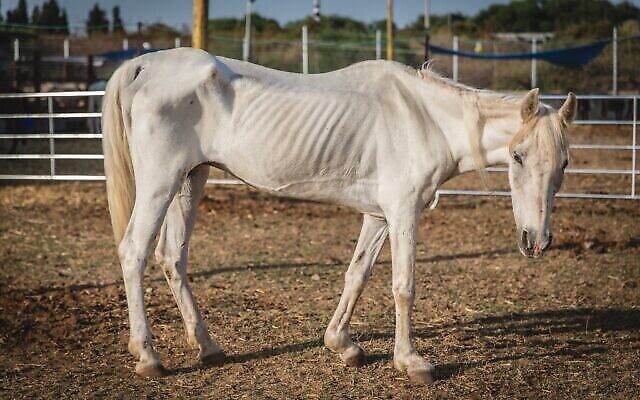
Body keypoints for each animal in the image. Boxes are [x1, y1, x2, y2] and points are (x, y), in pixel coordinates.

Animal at [101, 47, 576, 384]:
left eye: (564, 164)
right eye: (517, 156)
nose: (536, 240)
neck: (422, 119)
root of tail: (142, 66)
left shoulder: (378, 217)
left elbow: (357, 275)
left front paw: (342, 345)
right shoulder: (403, 213)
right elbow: (403, 287)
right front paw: (411, 362)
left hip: (189, 181)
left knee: (171, 257)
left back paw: (208, 347)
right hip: (160, 182)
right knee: (134, 252)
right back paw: (148, 356)